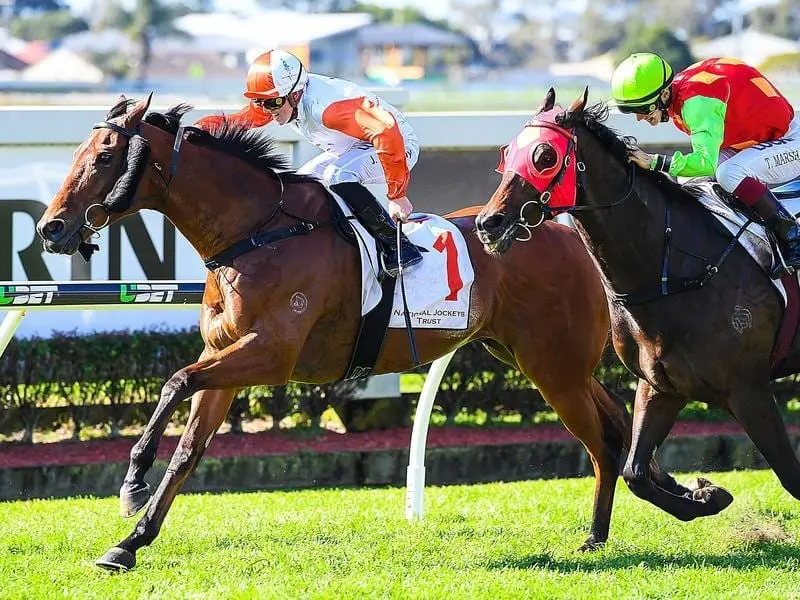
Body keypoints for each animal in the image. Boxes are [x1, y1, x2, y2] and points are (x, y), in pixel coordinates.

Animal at [40, 94, 636, 572]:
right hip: (538, 359)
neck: (257, 233)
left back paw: (601, 531)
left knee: (602, 442)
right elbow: (188, 446)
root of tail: (565, 229)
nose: (51, 227)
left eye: (105, 156)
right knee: (616, 421)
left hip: (552, 367)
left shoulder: (271, 354)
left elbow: (176, 381)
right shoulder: (225, 355)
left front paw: (133, 481)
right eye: (78, 153)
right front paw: (130, 542)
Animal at [476, 86, 800, 528]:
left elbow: (791, 475)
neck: (677, 268)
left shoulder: (749, 389)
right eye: (507, 152)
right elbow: (635, 473)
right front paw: (706, 493)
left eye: (544, 156)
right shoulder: (660, 385)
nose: (488, 223)